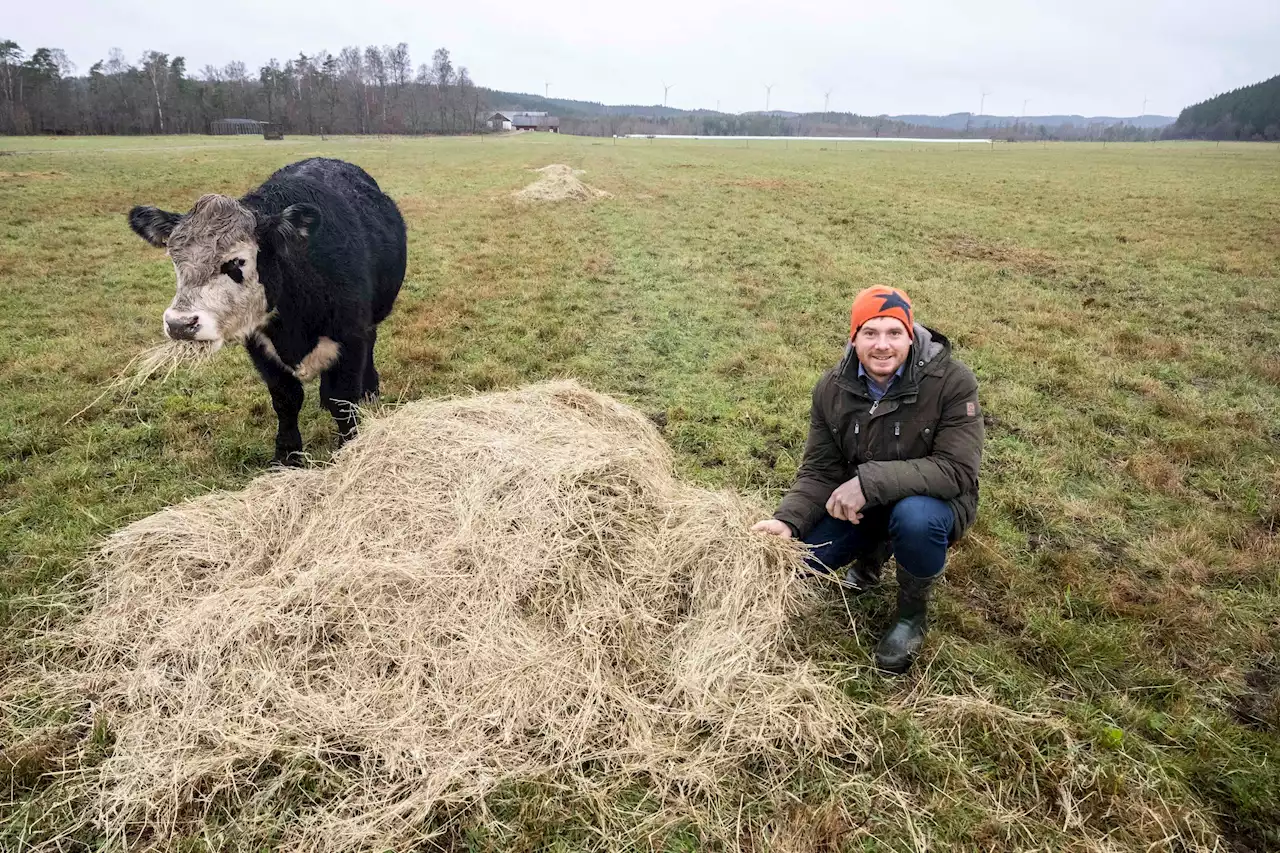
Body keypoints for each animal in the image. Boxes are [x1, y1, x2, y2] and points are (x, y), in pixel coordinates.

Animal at [127, 156, 407, 461]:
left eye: (237, 262)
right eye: (175, 258)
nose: (179, 324)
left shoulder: (351, 339)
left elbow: (343, 401)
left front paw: (349, 449)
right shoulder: (259, 346)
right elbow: (286, 400)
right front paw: (287, 456)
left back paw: (370, 389)